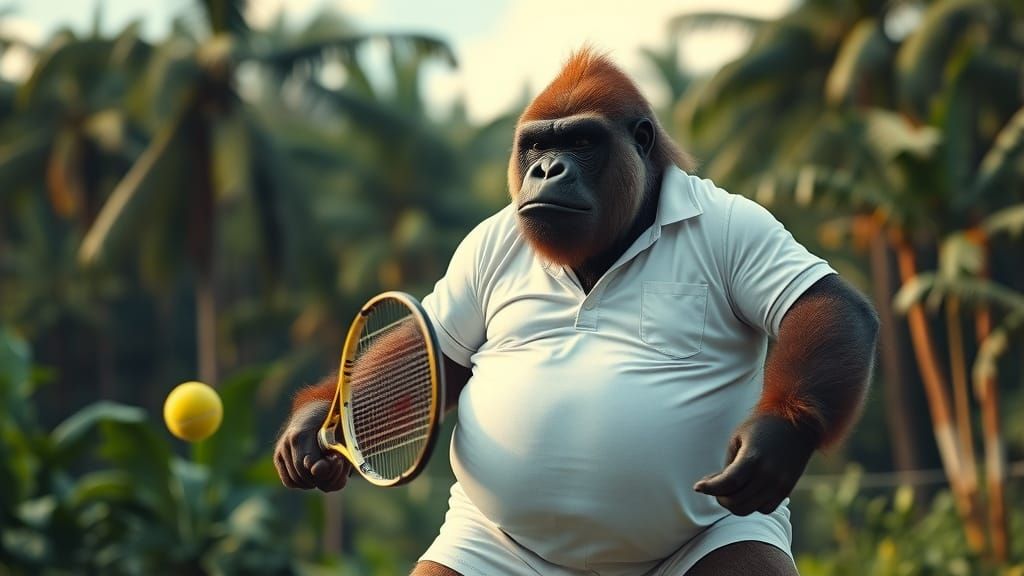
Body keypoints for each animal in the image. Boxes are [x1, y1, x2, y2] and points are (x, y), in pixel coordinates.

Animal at [275, 48, 879, 576]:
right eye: (538, 143)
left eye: (581, 141)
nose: (545, 168)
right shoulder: (479, 246)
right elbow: (436, 358)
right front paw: (312, 428)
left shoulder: (740, 221)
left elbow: (825, 302)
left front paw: (779, 435)